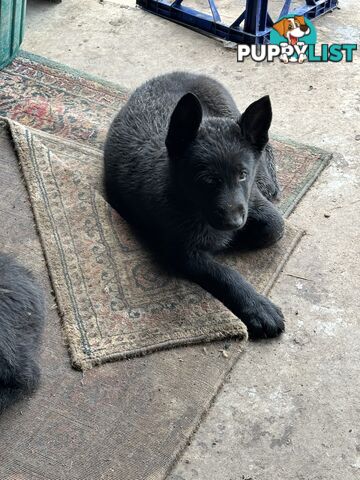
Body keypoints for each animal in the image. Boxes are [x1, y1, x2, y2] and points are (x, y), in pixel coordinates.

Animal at [103, 73, 284, 340]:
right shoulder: (184, 253)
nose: (233, 223)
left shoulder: (251, 200)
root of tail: (177, 73)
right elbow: (224, 274)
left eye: (242, 175)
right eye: (206, 180)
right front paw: (258, 307)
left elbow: (274, 226)